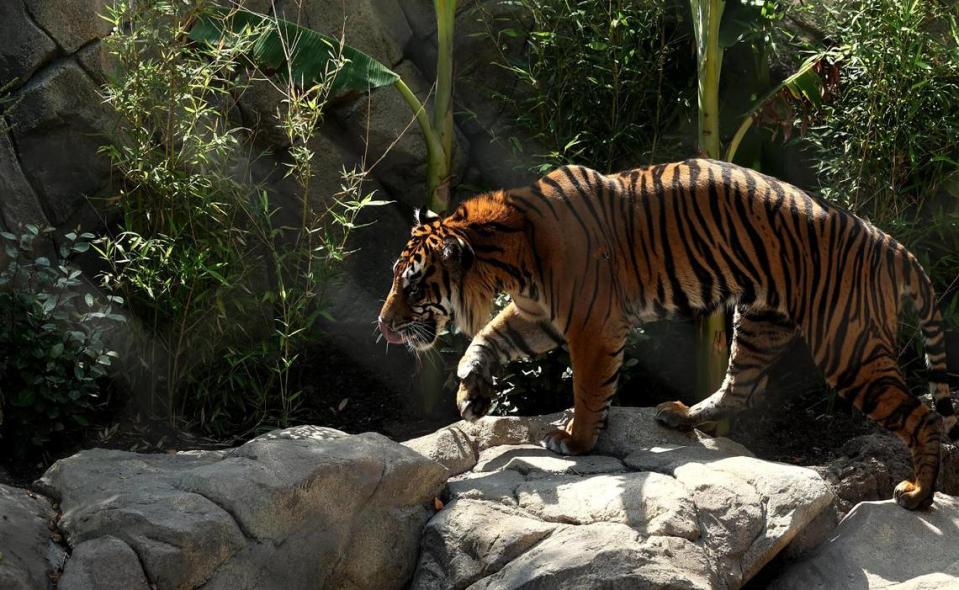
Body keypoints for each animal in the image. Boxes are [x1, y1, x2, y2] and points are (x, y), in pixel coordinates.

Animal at [378, 160, 956, 512]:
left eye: (413, 286)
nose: (382, 326)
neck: (510, 254)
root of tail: (888, 241)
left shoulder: (592, 323)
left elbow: (588, 388)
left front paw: (575, 440)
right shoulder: (538, 315)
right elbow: (491, 337)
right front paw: (471, 389)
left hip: (848, 346)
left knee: (924, 416)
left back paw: (918, 493)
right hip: (761, 321)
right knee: (743, 387)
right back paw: (680, 416)